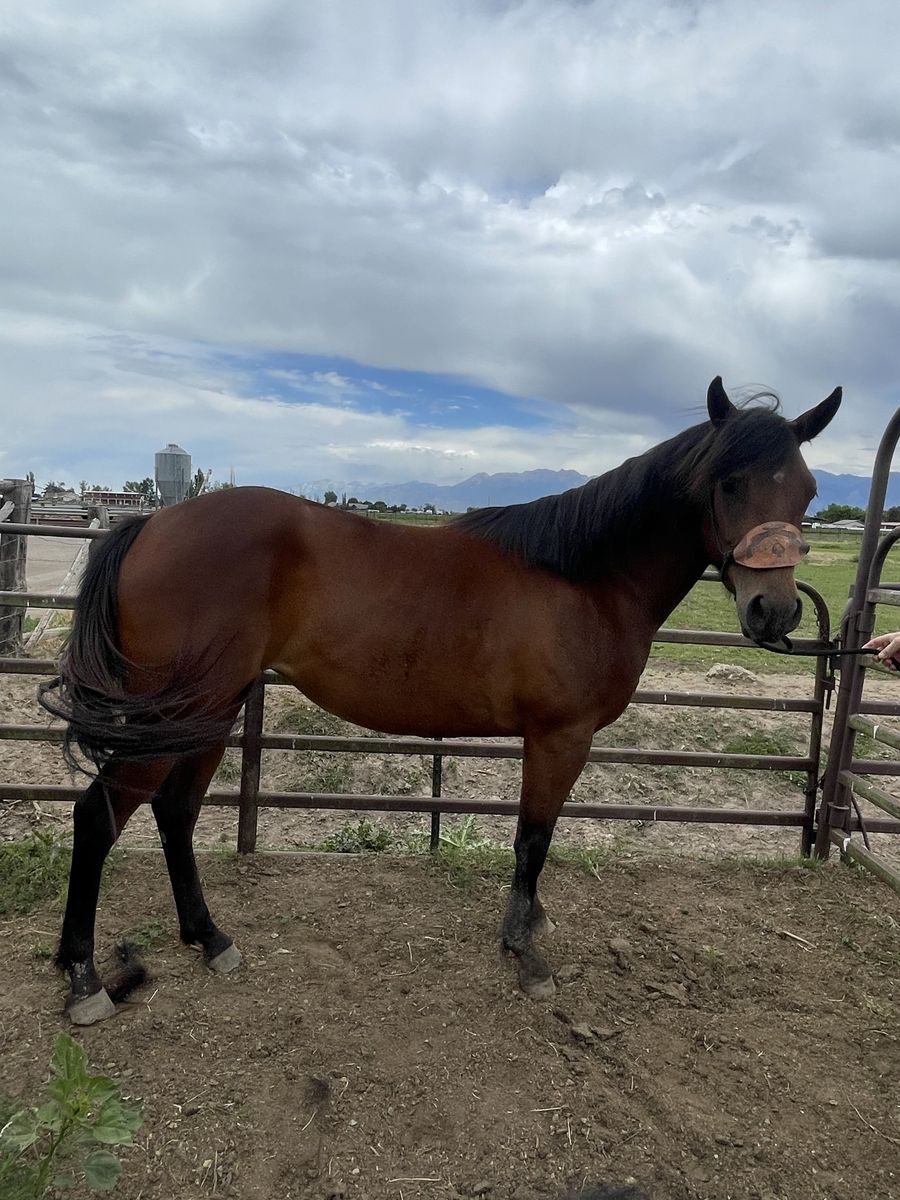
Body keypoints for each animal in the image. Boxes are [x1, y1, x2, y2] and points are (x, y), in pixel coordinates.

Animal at [38, 377, 840, 1024]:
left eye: (805, 491)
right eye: (729, 483)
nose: (774, 612)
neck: (586, 577)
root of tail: (151, 522)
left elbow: (537, 840)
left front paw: (531, 928)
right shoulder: (560, 737)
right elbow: (533, 839)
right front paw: (524, 954)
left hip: (212, 709)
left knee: (174, 813)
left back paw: (210, 940)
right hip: (174, 715)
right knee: (98, 817)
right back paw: (85, 983)